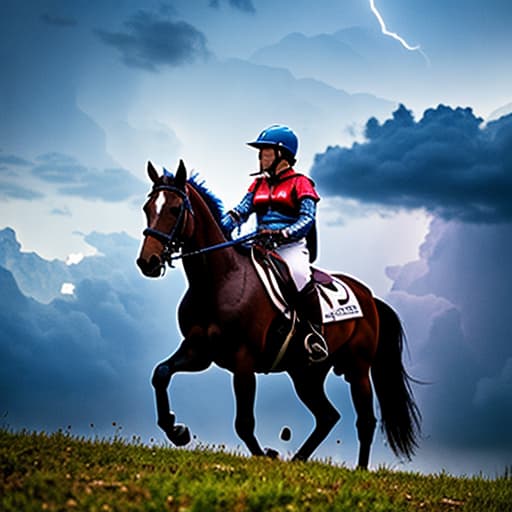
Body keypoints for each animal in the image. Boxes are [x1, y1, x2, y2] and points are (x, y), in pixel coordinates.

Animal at [136, 160, 420, 468]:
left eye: (175, 209)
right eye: (147, 208)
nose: (147, 262)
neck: (218, 282)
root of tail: (369, 297)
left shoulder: (243, 360)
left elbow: (244, 423)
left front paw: (264, 455)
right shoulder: (200, 352)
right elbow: (161, 373)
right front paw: (177, 430)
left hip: (357, 368)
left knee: (364, 421)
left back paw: (359, 470)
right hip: (306, 373)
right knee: (328, 416)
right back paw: (298, 459)